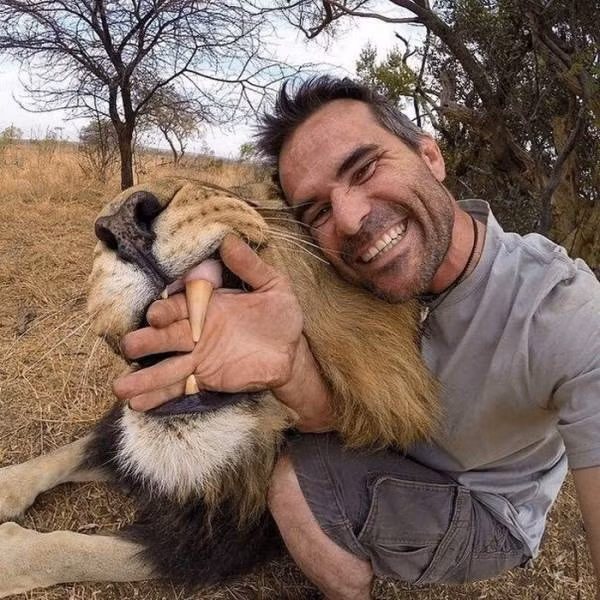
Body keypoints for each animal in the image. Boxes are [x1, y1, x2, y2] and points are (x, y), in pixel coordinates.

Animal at [0, 178, 437, 596]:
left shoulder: (220, 542)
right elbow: (68, 453)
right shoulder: (122, 441)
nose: (122, 224)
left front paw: (9, 551)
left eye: (271, 196)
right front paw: (7, 486)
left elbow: (81, 552)